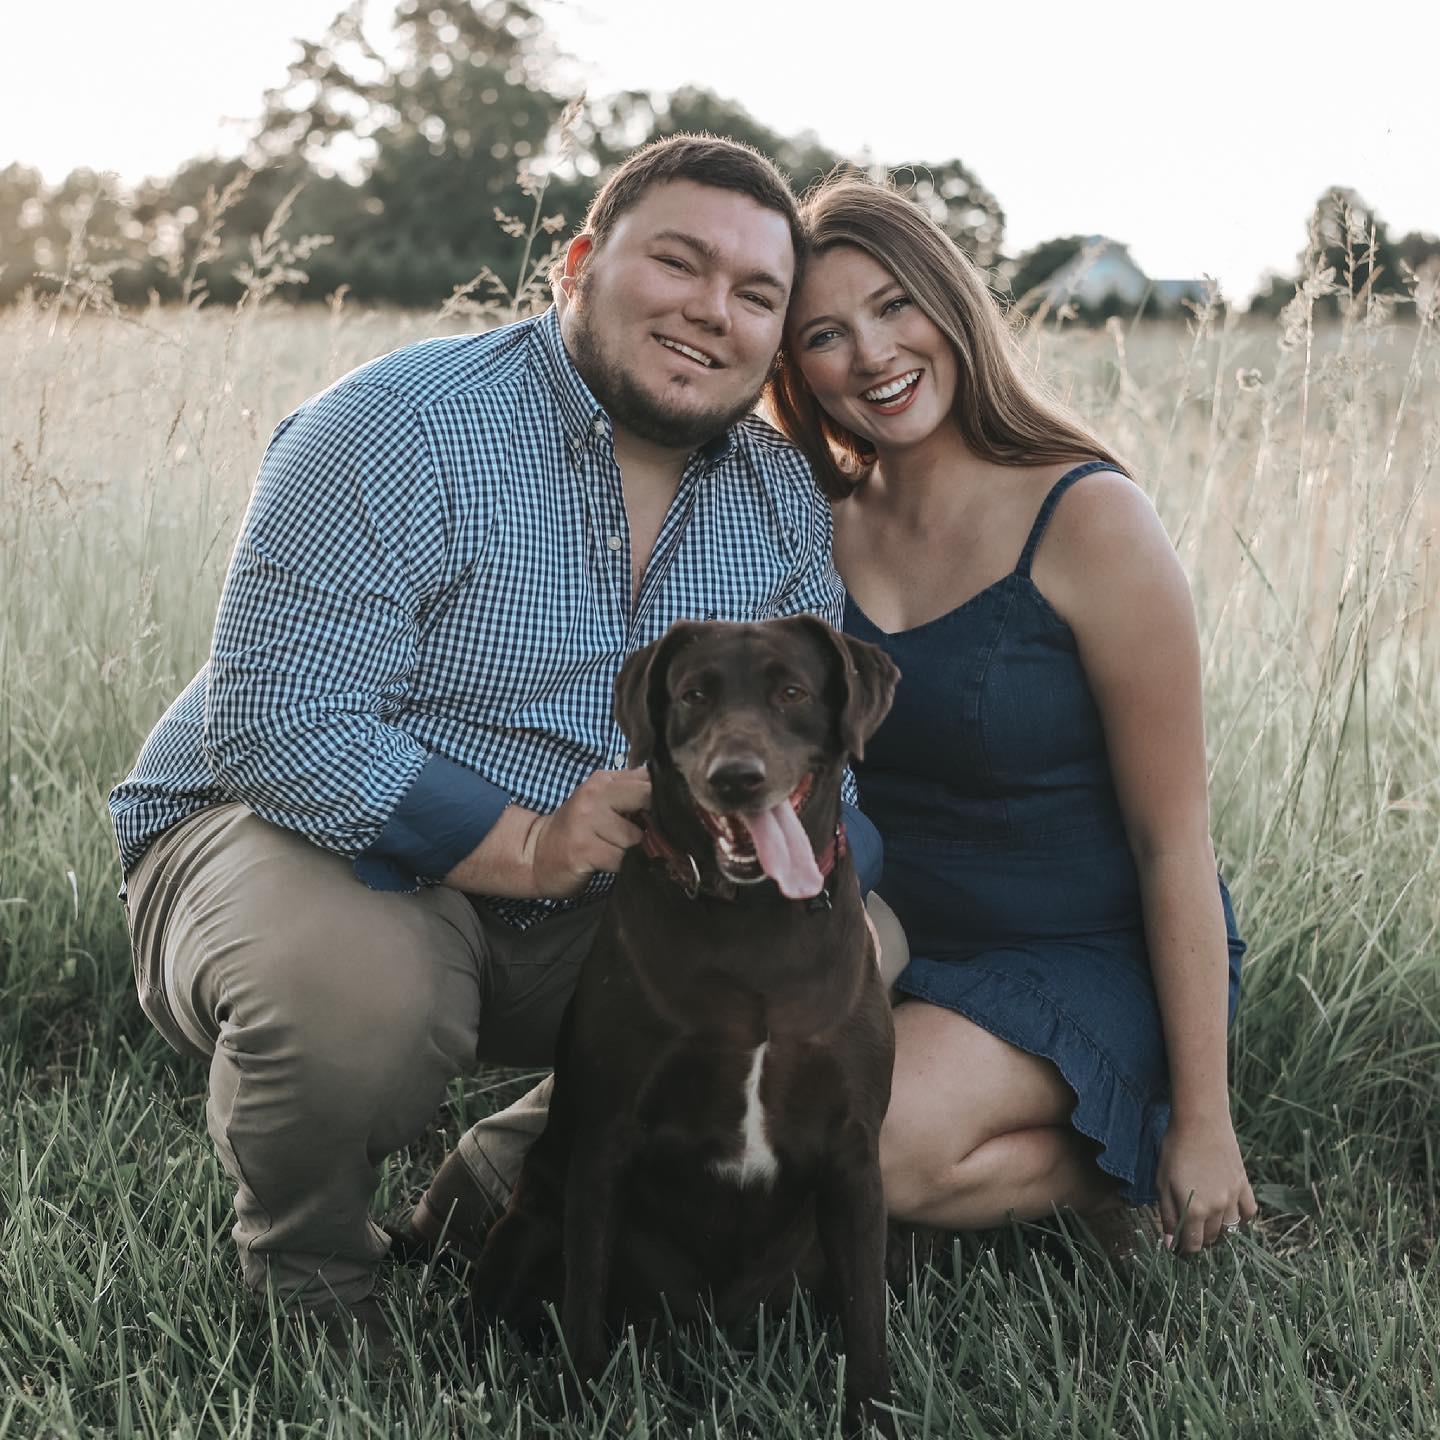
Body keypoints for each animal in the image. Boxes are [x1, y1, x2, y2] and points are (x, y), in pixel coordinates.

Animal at [468, 615, 901, 1437]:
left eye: (791, 692)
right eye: (694, 695)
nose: (738, 776)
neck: (755, 918)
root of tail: (706, 1331)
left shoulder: (855, 1157)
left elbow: (868, 1318)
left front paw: (873, 1415)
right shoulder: (605, 1141)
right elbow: (583, 1299)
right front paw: (581, 1401)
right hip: (528, 1224)